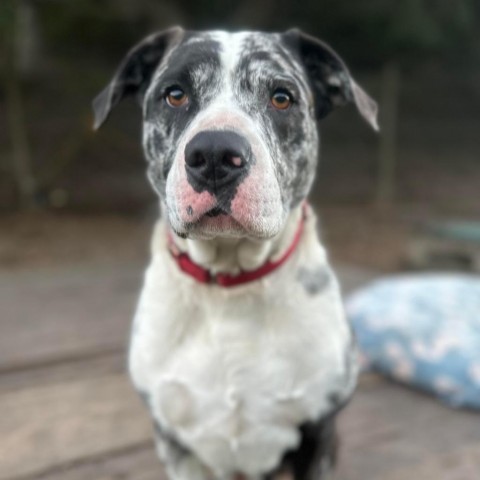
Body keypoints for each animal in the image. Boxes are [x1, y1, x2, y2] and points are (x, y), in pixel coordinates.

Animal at [93, 27, 378, 480]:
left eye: (282, 97)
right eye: (174, 94)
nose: (213, 155)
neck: (229, 283)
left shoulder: (318, 432)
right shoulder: (176, 443)